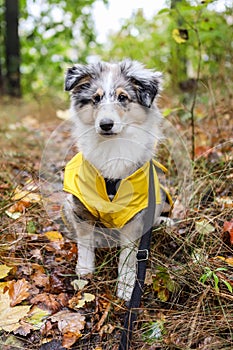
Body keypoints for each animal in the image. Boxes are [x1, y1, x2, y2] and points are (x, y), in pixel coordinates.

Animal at [61, 60, 171, 300]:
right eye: (96, 99)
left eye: (123, 97)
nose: (106, 124)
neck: (113, 148)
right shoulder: (80, 206)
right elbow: (85, 243)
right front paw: (84, 271)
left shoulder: (135, 215)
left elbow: (128, 256)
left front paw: (127, 286)